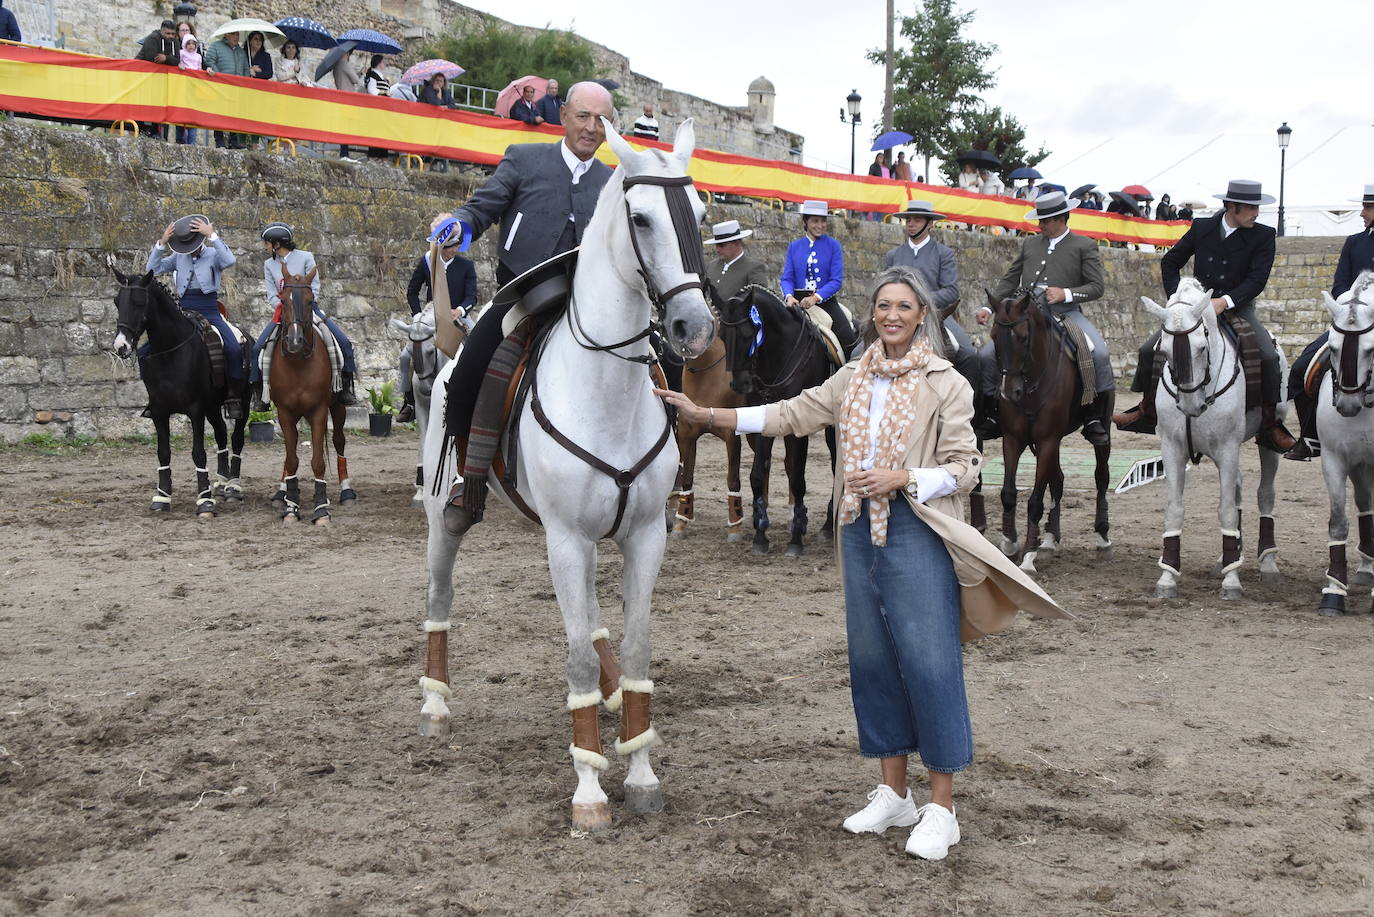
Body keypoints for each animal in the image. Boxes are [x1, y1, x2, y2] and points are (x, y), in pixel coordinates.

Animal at [109, 269, 250, 519]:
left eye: (139, 302)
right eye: (117, 301)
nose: (121, 346)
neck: (171, 352)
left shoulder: (195, 411)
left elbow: (198, 453)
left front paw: (204, 500)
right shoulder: (159, 411)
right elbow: (163, 452)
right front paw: (162, 496)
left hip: (244, 403)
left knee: (236, 439)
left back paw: (233, 487)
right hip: (212, 407)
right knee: (222, 435)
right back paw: (221, 483)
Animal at [266, 266, 354, 522]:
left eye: (310, 300)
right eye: (282, 300)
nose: (294, 341)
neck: (297, 363)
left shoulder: (319, 411)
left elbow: (317, 462)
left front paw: (321, 508)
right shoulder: (285, 413)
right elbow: (292, 460)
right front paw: (291, 506)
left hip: (338, 407)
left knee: (338, 441)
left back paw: (346, 491)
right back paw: (282, 493)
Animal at [714, 283, 840, 555]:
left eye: (747, 334)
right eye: (722, 336)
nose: (740, 384)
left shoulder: (800, 427)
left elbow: (799, 479)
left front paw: (796, 538)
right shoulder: (763, 419)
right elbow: (757, 476)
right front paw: (760, 534)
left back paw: (827, 526)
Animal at [983, 290, 1110, 569]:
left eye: (1023, 337)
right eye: (994, 336)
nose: (1010, 392)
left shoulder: (1047, 440)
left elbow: (1035, 501)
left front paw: (1028, 556)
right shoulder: (1013, 439)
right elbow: (1008, 493)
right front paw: (1009, 543)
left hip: (1100, 433)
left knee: (1101, 477)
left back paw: (1102, 535)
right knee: (1058, 480)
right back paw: (1051, 538)